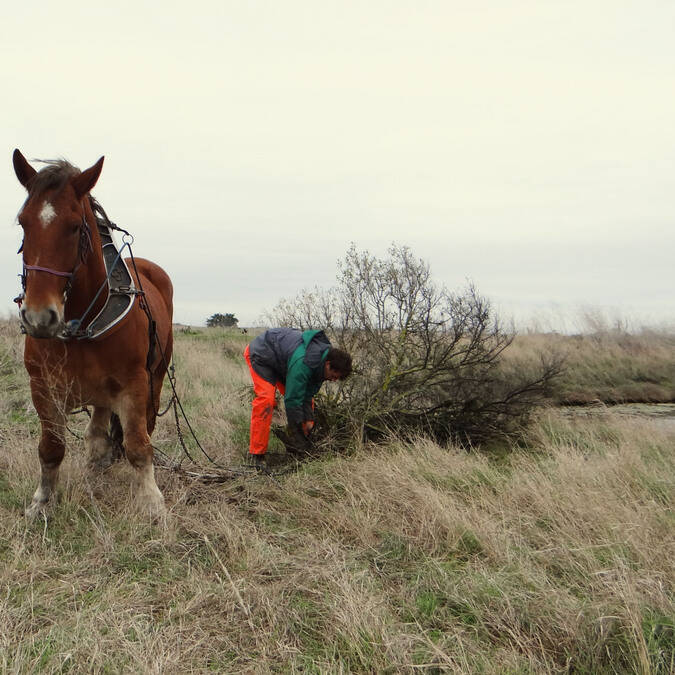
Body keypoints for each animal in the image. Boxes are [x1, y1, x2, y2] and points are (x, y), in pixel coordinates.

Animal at [12, 149, 174, 516]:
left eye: (74, 227)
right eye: (23, 222)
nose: (39, 317)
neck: (81, 326)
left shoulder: (134, 385)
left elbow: (138, 445)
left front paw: (152, 504)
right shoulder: (42, 387)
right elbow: (51, 447)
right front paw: (42, 501)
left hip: (156, 375)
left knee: (144, 426)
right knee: (98, 428)